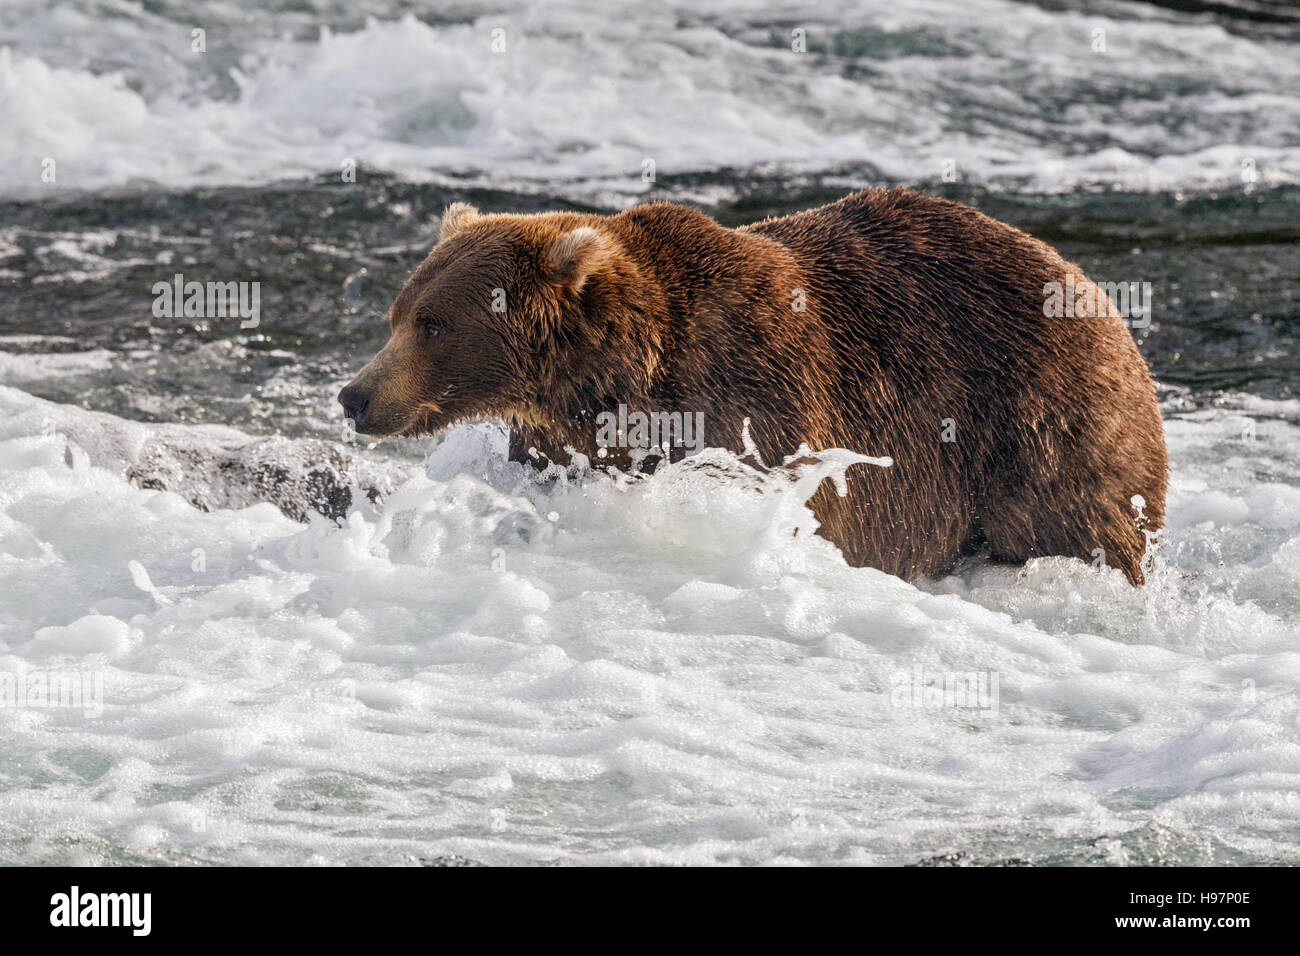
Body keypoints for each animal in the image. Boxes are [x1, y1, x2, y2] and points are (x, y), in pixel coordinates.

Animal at [340, 188, 1175, 582]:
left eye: (434, 325)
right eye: (398, 314)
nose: (355, 395)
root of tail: (1096, 294)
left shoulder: (754, 398)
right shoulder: (563, 440)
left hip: (1045, 423)